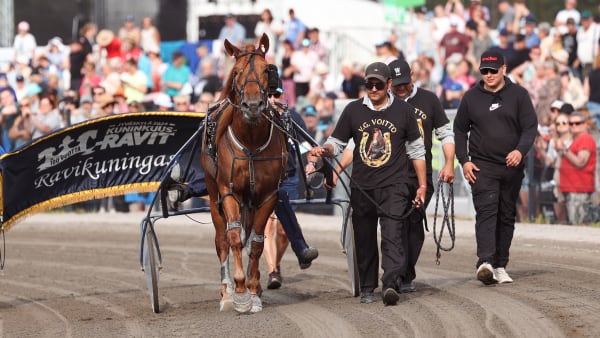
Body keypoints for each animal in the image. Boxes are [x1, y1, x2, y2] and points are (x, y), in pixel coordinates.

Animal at [200, 33, 288, 312]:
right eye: (237, 71)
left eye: (266, 70)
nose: (252, 105)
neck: (250, 141)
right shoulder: (229, 192)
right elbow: (234, 237)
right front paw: (238, 292)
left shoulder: (269, 195)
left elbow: (257, 243)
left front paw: (253, 288)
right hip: (213, 193)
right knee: (222, 239)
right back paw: (226, 291)